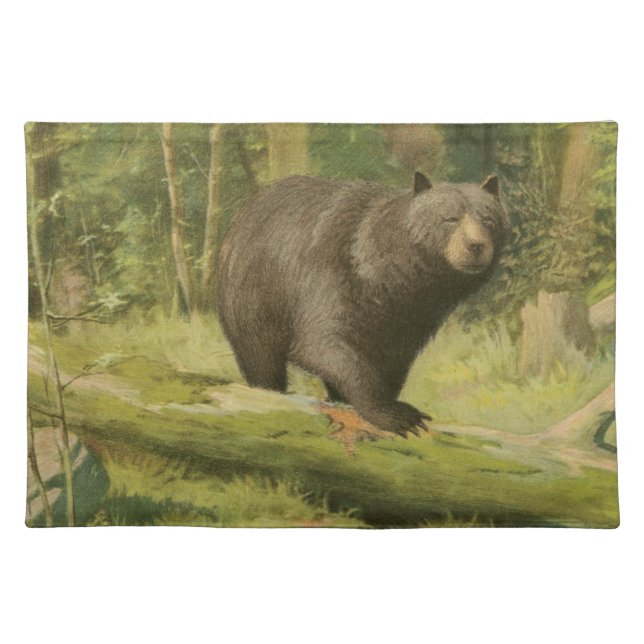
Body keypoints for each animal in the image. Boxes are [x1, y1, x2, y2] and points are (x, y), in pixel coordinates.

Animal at [217, 172, 509, 436]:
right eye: (450, 218)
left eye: (488, 219)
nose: (476, 245)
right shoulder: (330, 274)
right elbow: (322, 343)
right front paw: (398, 414)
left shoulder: (412, 318)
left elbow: (393, 359)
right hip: (253, 295)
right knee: (260, 356)